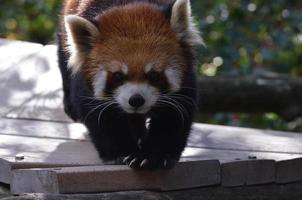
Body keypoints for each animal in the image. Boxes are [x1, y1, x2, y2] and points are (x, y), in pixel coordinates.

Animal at [56, 0, 203, 169]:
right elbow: (103, 118)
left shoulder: (185, 80)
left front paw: (153, 156)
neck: (129, 6)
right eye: (118, 76)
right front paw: (122, 153)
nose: (136, 100)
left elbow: (172, 116)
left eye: (154, 75)